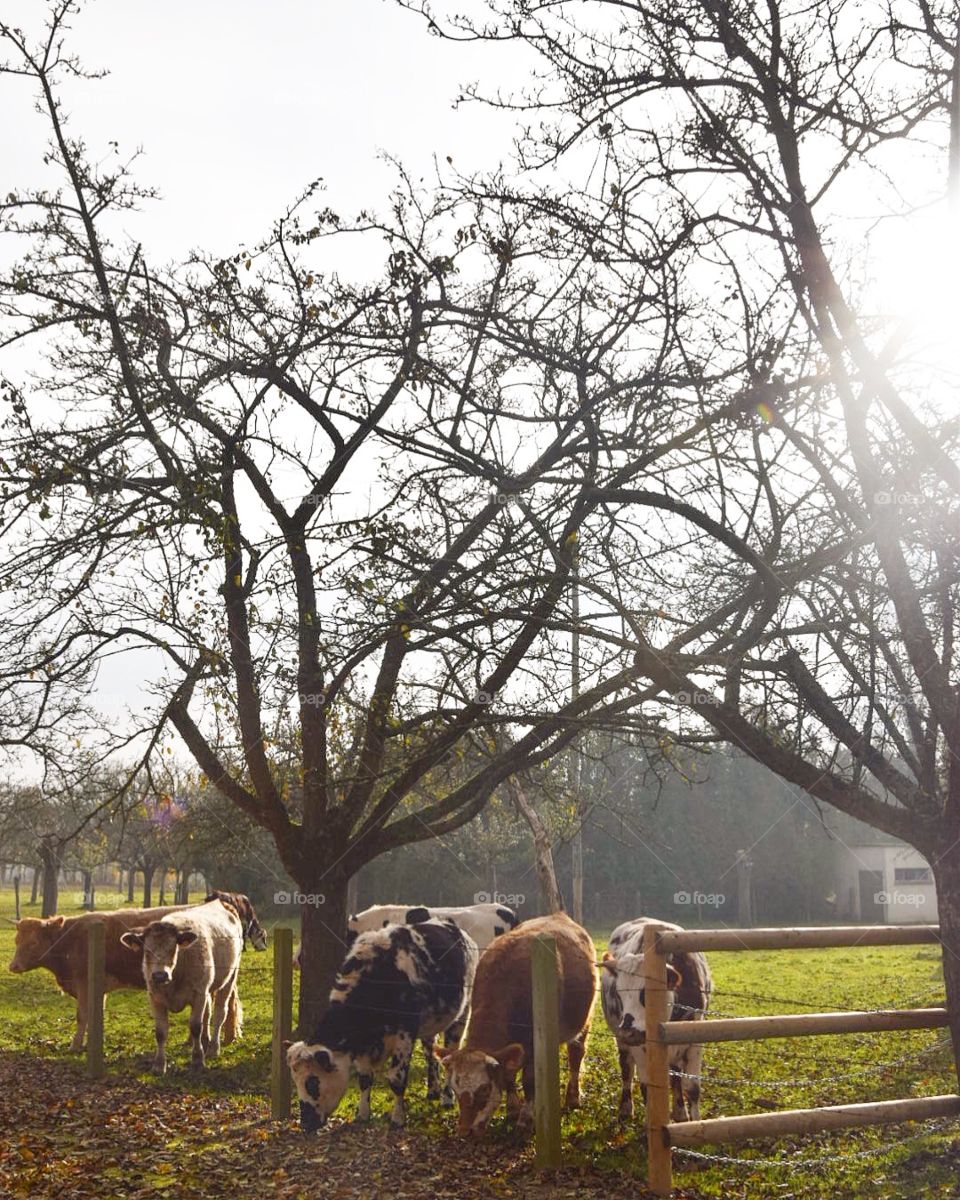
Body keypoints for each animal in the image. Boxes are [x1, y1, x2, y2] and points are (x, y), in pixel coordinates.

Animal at [286, 916, 477, 1132]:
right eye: (295, 1081)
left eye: (312, 1083)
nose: (305, 1123)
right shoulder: (361, 1044)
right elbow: (364, 1078)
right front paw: (362, 1114)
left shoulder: (404, 1034)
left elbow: (396, 1079)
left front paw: (398, 1119)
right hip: (431, 1025)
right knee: (431, 1053)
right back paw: (433, 1091)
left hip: (461, 1016)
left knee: (450, 1054)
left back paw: (447, 1098)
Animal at [441, 912, 592, 1137]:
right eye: (455, 1088)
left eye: (484, 1088)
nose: (464, 1130)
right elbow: (509, 1077)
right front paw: (513, 1110)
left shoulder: (534, 1045)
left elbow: (529, 1081)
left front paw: (526, 1119)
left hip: (583, 1022)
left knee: (576, 1055)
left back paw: (573, 1098)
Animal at [600, 916, 710, 1123]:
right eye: (618, 993)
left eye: (646, 993)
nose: (628, 1032)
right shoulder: (639, 1045)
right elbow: (646, 1087)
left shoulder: (695, 1039)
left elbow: (692, 1089)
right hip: (622, 1043)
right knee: (626, 1069)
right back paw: (625, 1108)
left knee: (675, 1075)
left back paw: (680, 1112)